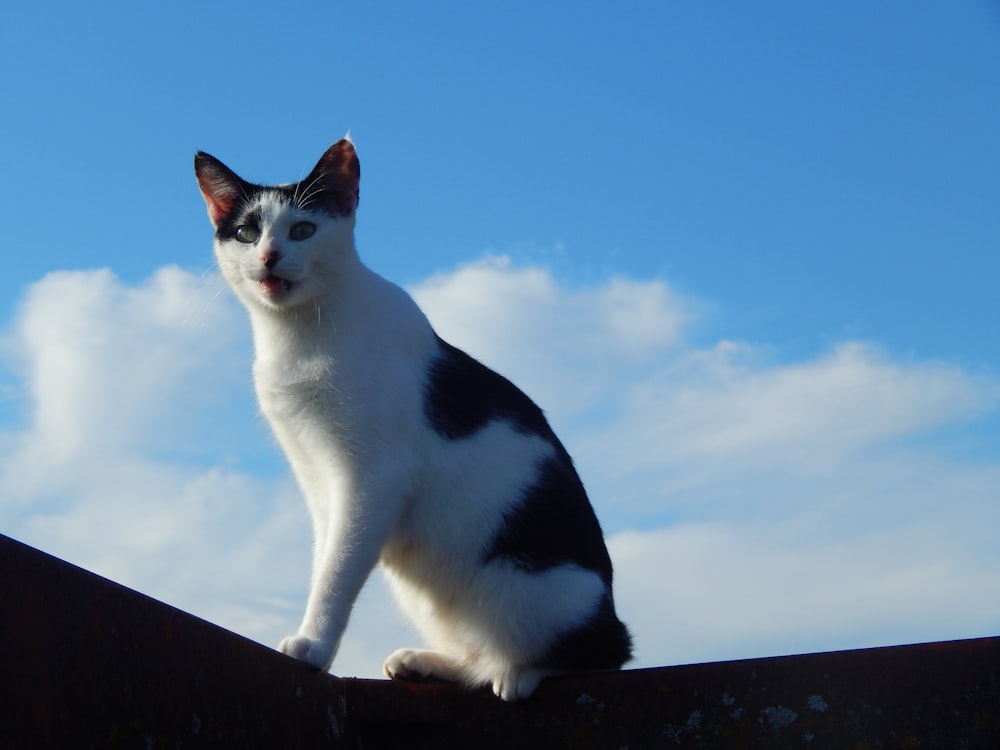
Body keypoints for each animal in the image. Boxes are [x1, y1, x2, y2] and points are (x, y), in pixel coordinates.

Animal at [195, 138, 632, 704]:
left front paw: (313, 645)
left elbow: (338, 568)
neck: (301, 335)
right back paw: (428, 662)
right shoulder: (319, 479)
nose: (269, 255)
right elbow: (326, 554)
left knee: (602, 652)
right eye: (247, 233)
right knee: (480, 653)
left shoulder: (376, 477)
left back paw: (520, 673)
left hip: (544, 591)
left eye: (303, 230)